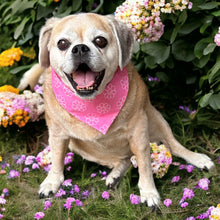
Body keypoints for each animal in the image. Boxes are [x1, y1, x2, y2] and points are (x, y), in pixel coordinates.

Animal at [18, 12, 214, 207]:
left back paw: (198, 158)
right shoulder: (58, 135)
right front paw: (52, 182)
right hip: (82, 148)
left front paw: (148, 191)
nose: (80, 48)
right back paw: (116, 175)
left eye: (100, 41)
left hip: (157, 121)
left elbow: (145, 164)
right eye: (63, 44)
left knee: (173, 146)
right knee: (123, 160)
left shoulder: (139, 133)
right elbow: (57, 160)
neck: (92, 105)